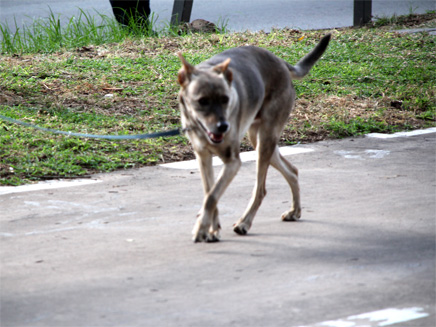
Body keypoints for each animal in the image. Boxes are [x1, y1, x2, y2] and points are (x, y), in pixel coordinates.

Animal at [177, 34, 330, 242]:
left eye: (226, 99)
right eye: (202, 101)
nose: (224, 126)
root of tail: (281, 62)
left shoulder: (233, 162)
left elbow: (212, 197)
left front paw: (201, 229)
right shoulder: (203, 157)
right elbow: (210, 193)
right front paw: (212, 229)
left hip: (265, 139)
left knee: (261, 189)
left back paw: (244, 223)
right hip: (259, 140)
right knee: (292, 171)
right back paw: (295, 211)